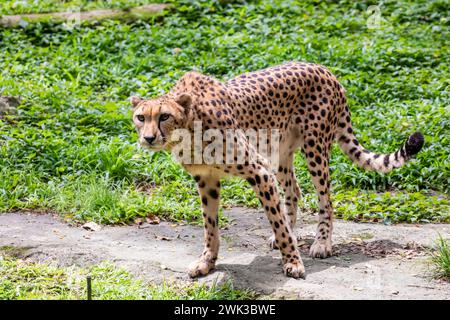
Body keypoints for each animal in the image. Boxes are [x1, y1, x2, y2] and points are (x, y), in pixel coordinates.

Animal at [129, 61, 422, 278]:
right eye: (141, 117)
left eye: (164, 116)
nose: (149, 138)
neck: (189, 130)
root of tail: (324, 69)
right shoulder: (207, 180)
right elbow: (210, 226)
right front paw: (206, 262)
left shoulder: (259, 171)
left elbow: (276, 219)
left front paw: (293, 262)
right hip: (280, 152)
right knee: (293, 189)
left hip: (315, 148)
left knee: (325, 199)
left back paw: (322, 243)